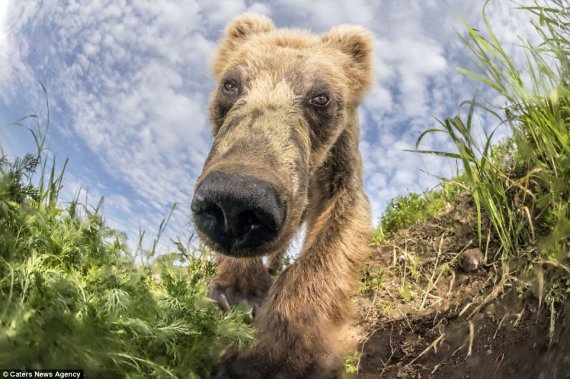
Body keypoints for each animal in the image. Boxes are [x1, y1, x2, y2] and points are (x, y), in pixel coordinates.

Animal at [191, 13, 372, 378]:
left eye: (321, 97)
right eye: (231, 83)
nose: (236, 202)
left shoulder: (340, 162)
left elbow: (339, 226)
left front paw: (276, 354)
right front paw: (237, 292)